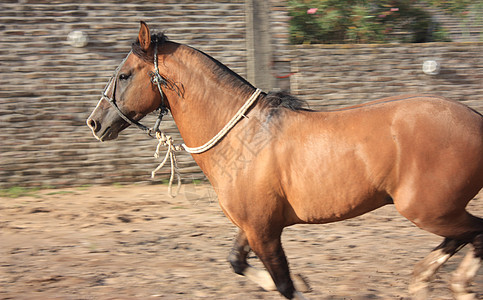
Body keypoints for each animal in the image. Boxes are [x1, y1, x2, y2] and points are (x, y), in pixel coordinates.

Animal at [88, 20, 483, 298]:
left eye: (124, 75)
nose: (95, 122)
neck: (244, 139)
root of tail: (476, 119)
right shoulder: (252, 225)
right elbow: (237, 263)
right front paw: (303, 281)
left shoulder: (264, 231)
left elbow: (284, 285)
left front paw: (299, 283)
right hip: (436, 211)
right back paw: (428, 280)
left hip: (428, 209)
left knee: (475, 233)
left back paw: (451, 283)